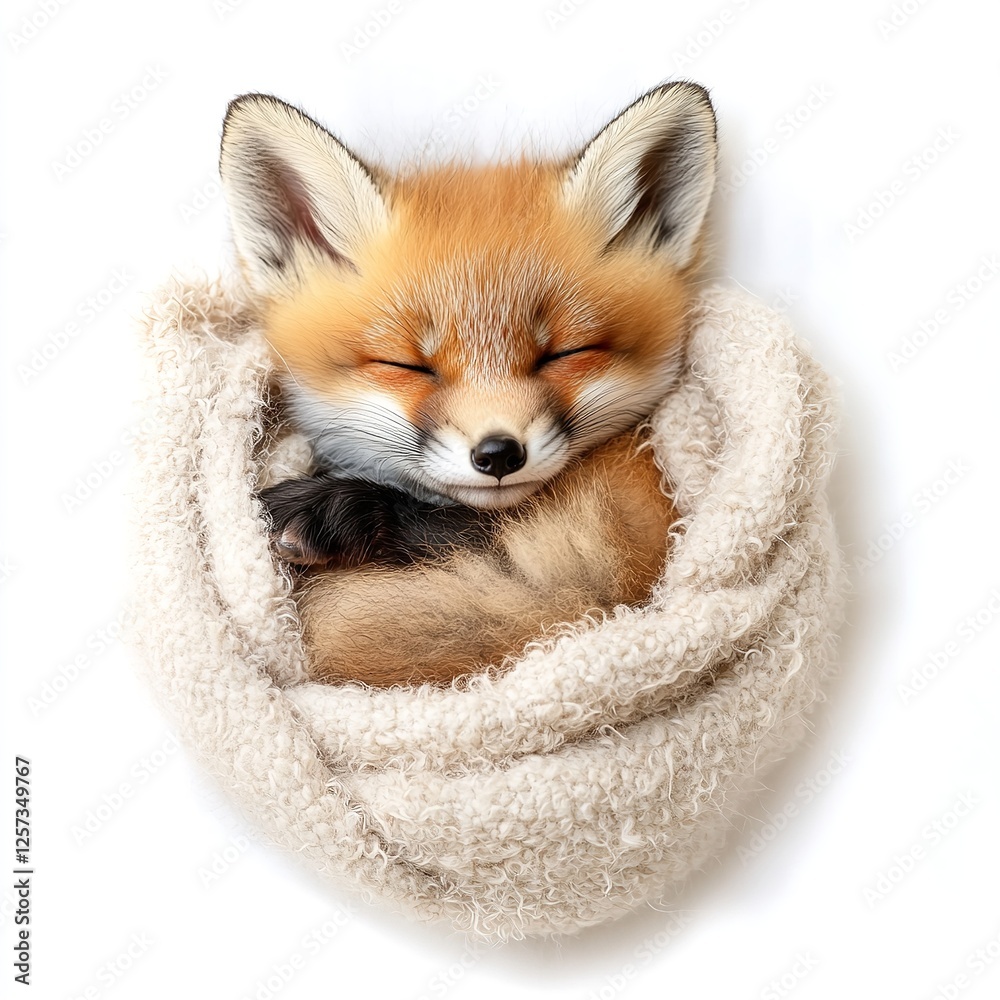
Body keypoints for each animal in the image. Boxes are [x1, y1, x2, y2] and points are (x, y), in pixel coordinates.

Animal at [218, 81, 718, 687]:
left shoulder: (637, 538)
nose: (499, 453)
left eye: (563, 353)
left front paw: (333, 510)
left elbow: (462, 535)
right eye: (408, 365)